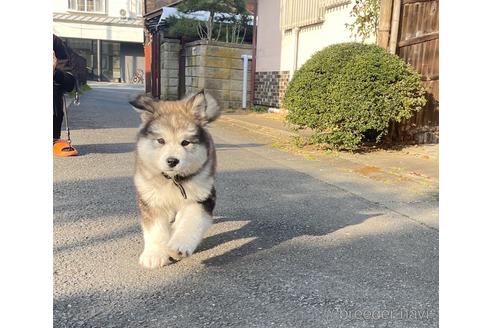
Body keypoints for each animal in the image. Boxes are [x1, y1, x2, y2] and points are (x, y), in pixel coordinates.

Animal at [131, 90, 223, 270]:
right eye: (161, 140)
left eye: (185, 142)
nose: (172, 161)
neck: (173, 180)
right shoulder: (150, 199)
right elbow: (155, 229)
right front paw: (154, 254)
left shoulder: (202, 196)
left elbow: (191, 221)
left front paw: (178, 247)